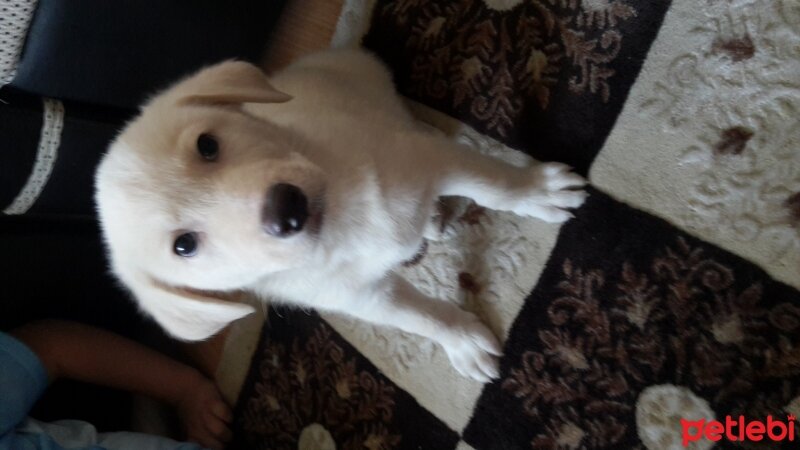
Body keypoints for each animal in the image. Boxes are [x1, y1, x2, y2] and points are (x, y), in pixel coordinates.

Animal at [95, 48, 588, 380]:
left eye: (208, 145)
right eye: (185, 246)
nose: (287, 210)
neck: (344, 218)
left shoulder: (429, 162)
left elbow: (493, 184)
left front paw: (538, 191)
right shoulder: (362, 296)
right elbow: (421, 317)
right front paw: (462, 342)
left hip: (383, 99)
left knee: (419, 124)